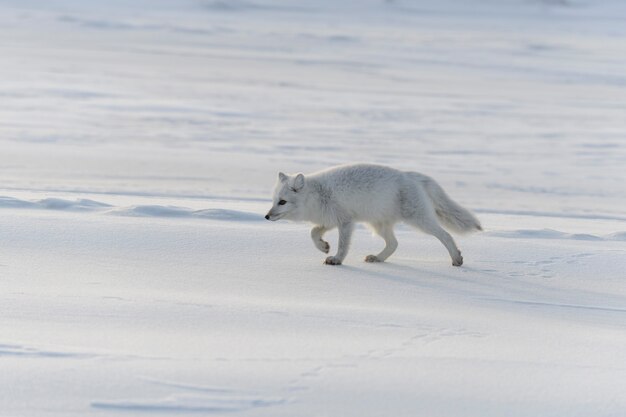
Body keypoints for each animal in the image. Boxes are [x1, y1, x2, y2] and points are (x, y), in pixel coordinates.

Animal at [262, 163, 478, 266]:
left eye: (282, 202)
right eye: (273, 201)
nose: (266, 216)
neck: (317, 195)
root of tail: (410, 175)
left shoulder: (346, 221)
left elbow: (343, 245)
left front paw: (336, 259)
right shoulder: (330, 220)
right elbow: (313, 232)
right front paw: (323, 247)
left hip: (419, 220)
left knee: (445, 235)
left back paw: (456, 259)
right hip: (378, 225)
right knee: (394, 243)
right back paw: (378, 258)